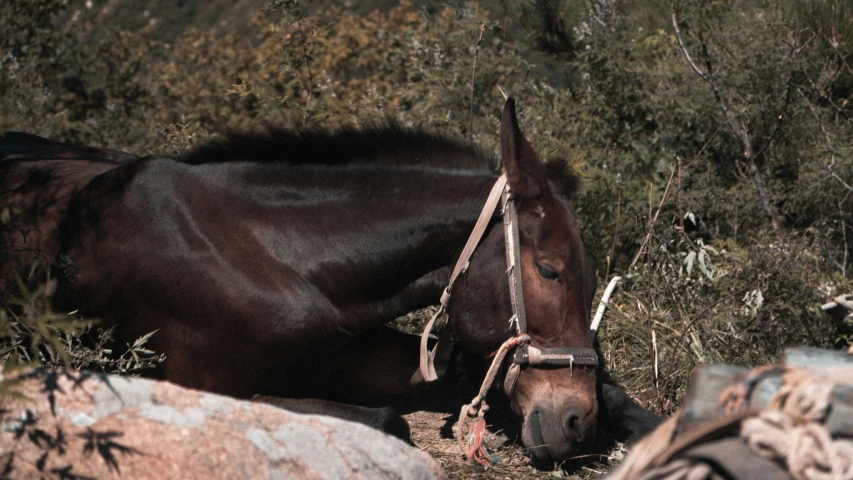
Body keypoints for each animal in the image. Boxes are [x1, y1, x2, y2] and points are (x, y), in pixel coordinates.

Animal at [0, 100, 660, 464]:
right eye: (549, 270)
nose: (574, 423)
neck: (279, 252)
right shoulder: (205, 389)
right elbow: (388, 421)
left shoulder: (352, 352)